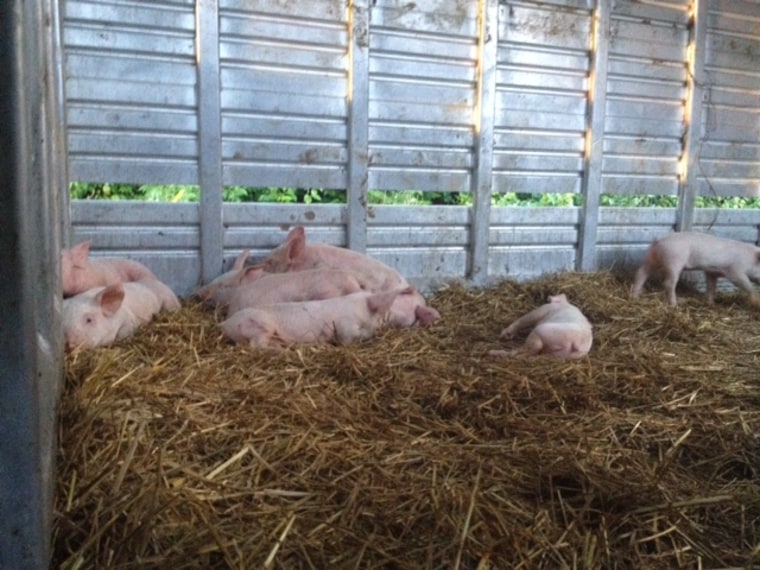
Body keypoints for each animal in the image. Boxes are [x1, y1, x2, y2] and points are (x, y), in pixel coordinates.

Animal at [220, 286, 406, 348]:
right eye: (380, 313)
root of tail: (226, 323)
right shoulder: (345, 327)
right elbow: (349, 338)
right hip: (261, 324)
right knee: (255, 346)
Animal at [628, 231, 760, 306]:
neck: (750, 259)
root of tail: (659, 240)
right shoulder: (735, 270)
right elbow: (746, 284)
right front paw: (756, 301)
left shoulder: (712, 271)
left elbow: (711, 286)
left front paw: (711, 304)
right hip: (674, 261)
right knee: (668, 283)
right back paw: (674, 305)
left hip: (652, 258)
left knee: (641, 273)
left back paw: (635, 297)